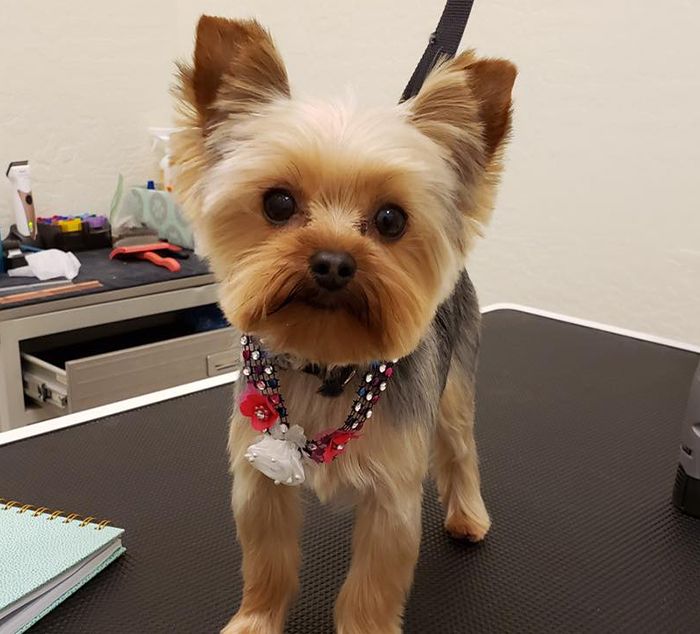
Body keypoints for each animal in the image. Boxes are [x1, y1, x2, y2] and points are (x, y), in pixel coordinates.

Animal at [173, 14, 516, 632]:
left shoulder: (391, 496)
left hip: (455, 384)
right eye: (278, 203)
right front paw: (255, 620)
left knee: (461, 448)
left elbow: (370, 588)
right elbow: (267, 561)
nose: (333, 261)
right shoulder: (258, 479)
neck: (327, 366)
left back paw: (469, 516)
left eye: (391, 219)